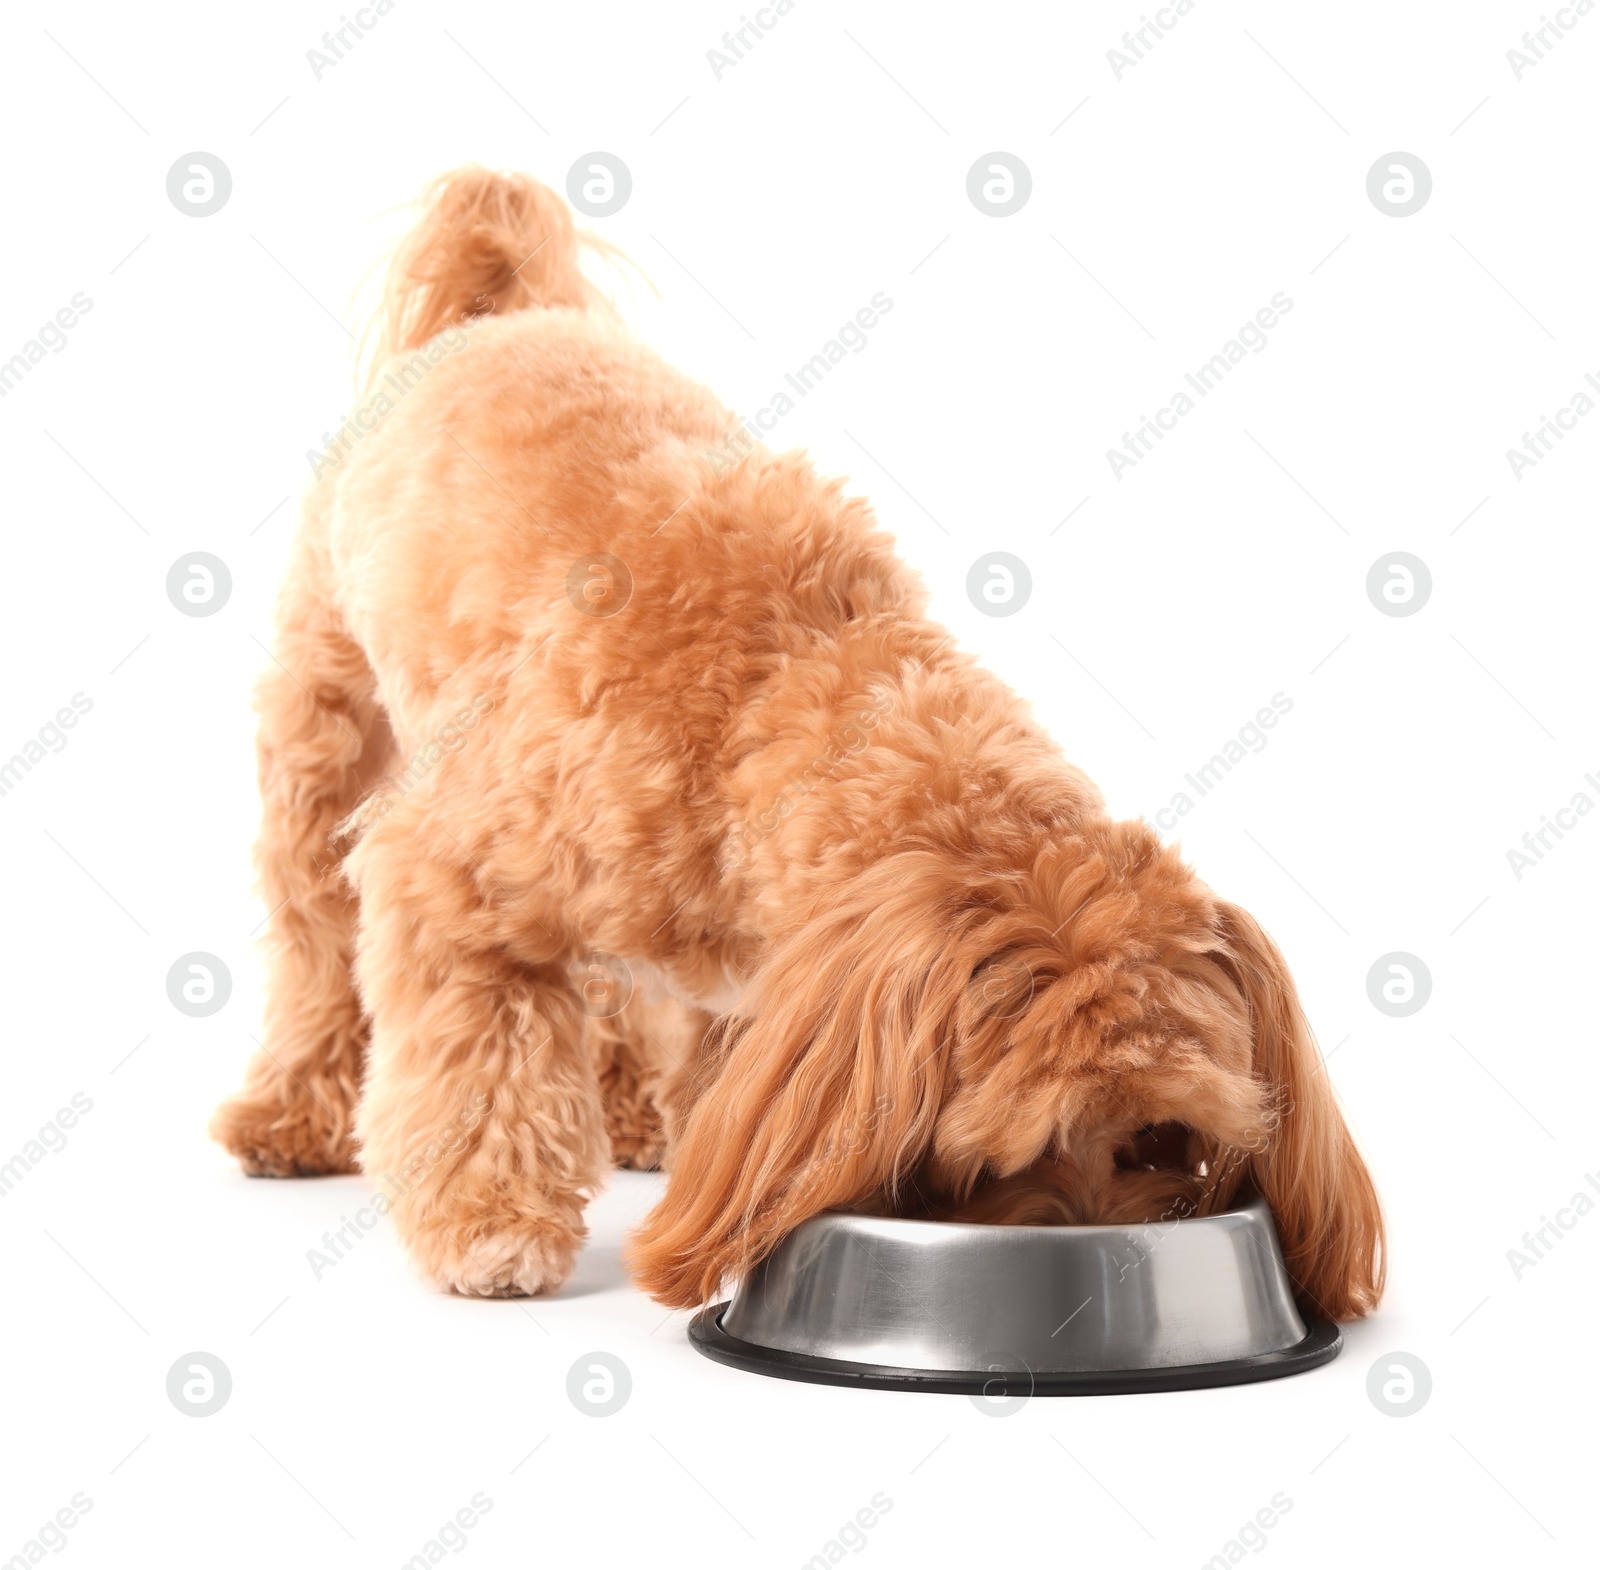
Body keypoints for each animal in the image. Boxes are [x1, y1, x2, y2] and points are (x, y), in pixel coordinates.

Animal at [212, 165, 1388, 1318]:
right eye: (1007, 1157)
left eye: (1158, 1140)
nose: (1098, 1280)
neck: (782, 690)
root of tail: (507, 315)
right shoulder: (448, 876)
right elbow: (481, 1065)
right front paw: (492, 1221)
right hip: (324, 734)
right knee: (314, 941)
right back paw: (289, 1112)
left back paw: (626, 1109)